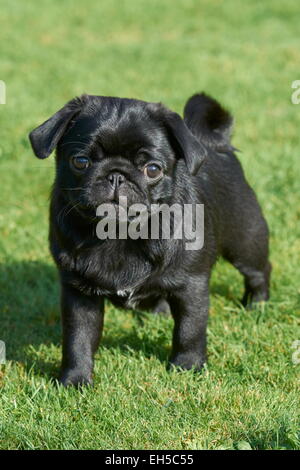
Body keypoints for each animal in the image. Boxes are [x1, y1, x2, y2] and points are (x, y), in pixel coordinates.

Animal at [28, 92, 272, 386]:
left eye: (153, 169)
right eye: (80, 162)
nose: (116, 174)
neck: (118, 232)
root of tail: (217, 143)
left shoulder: (191, 285)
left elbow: (189, 330)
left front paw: (187, 366)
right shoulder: (79, 293)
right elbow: (78, 338)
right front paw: (75, 380)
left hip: (246, 239)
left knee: (259, 271)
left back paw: (257, 305)